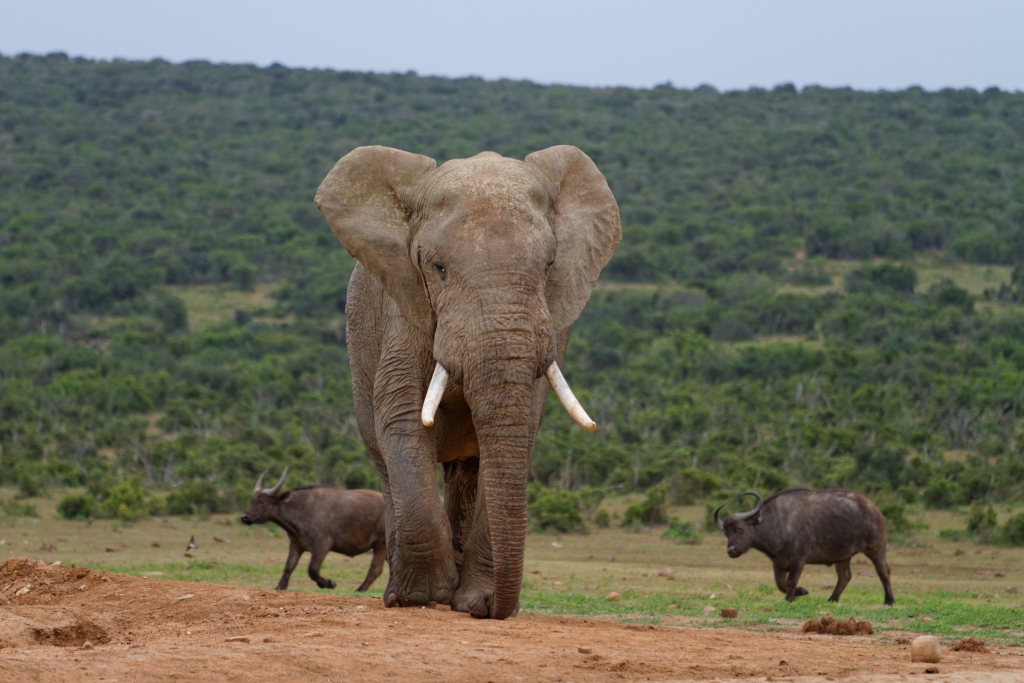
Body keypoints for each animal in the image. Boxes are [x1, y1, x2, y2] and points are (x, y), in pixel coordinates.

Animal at [314, 145, 620, 619]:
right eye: (437, 267)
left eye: (549, 266)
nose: (496, 608)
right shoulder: (406, 306)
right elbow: (402, 419)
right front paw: (421, 596)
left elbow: (519, 432)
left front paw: (474, 600)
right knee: (384, 458)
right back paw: (402, 592)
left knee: (469, 471)